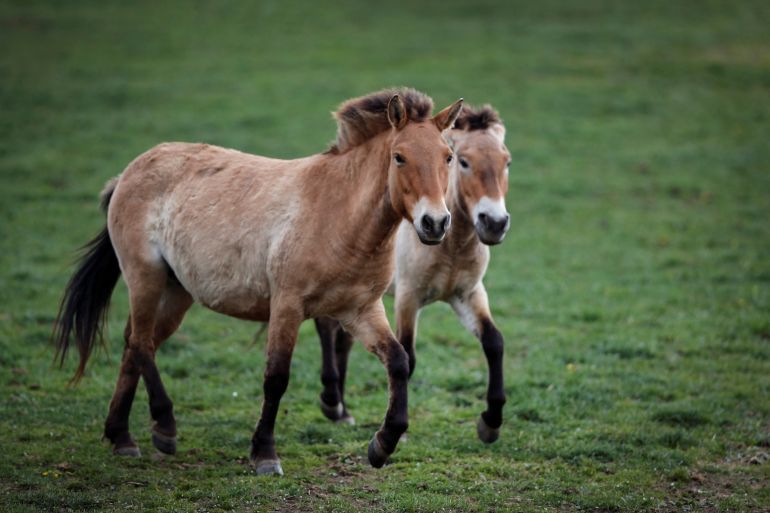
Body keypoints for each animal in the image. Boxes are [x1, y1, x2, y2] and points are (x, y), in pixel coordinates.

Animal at [55, 89, 462, 476]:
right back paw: (164, 427)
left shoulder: (360, 310)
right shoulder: (287, 305)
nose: (435, 223)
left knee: (137, 344)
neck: (339, 215)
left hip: (176, 292)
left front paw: (382, 445)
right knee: (140, 343)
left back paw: (121, 435)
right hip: (145, 277)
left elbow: (398, 361)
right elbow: (276, 377)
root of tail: (128, 173)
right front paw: (265, 454)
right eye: (399, 157)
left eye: (448, 157)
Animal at [316, 103, 508, 440]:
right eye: (464, 161)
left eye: (506, 162)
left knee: (343, 339)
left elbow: (494, 342)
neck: (451, 247)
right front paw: (399, 432)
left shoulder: (468, 294)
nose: (495, 223)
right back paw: (331, 403)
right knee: (327, 328)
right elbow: (409, 354)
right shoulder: (408, 298)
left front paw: (490, 423)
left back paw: (343, 411)